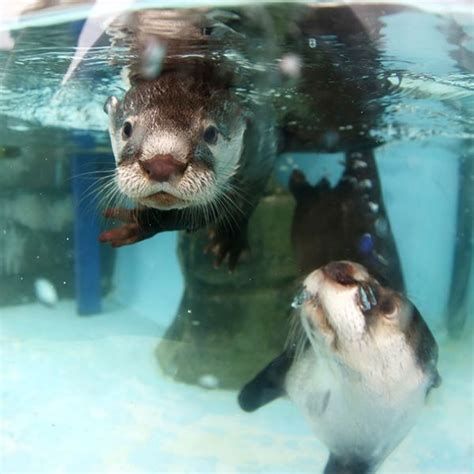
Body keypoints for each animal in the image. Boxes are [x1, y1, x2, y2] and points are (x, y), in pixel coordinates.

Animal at [239, 262, 442, 472]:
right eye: (371, 273)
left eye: (389, 308)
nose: (341, 267)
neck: (320, 404)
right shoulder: (295, 363)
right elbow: (266, 379)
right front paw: (245, 400)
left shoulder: (362, 455)